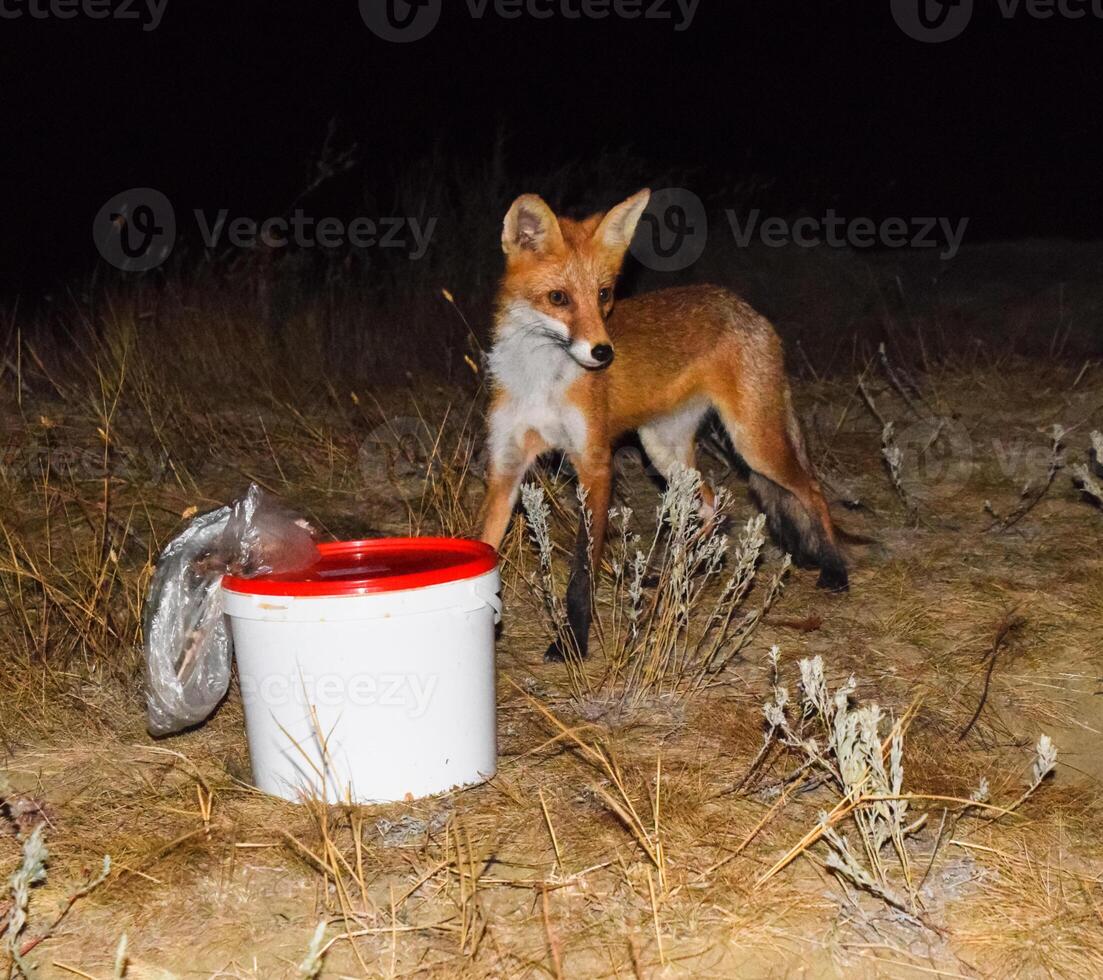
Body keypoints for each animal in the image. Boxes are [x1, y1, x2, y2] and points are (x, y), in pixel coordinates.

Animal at [478, 187, 847, 662]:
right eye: (558, 298)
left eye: (603, 294)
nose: (603, 353)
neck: (540, 381)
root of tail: (747, 308)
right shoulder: (506, 465)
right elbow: (484, 543)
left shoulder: (595, 464)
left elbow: (582, 571)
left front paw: (572, 642)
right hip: (662, 449)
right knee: (711, 505)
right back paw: (683, 570)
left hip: (753, 443)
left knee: (812, 491)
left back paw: (835, 569)